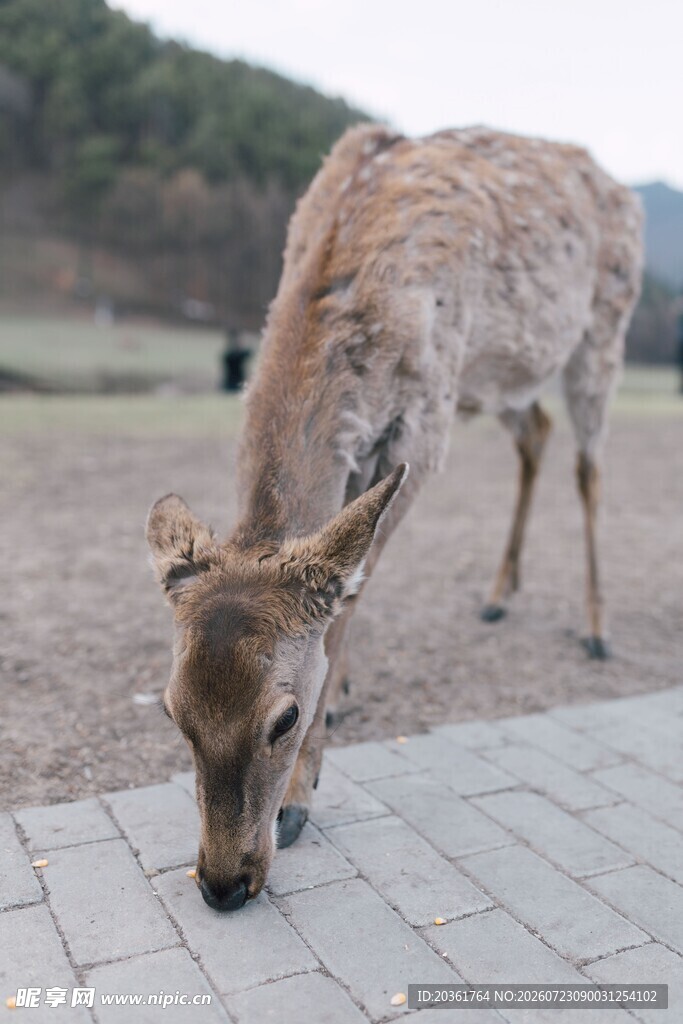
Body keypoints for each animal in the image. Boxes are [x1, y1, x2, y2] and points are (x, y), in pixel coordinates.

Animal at [146, 124, 642, 911]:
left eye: (284, 717)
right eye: (172, 710)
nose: (222, 882)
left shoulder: (423, 429)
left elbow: (353, 589)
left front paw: (302, 797)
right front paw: (345, 693)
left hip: (601, 334)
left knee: (589, 464)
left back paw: (596, 628)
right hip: (499, 378)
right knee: (535, 430)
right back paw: (499, 595)